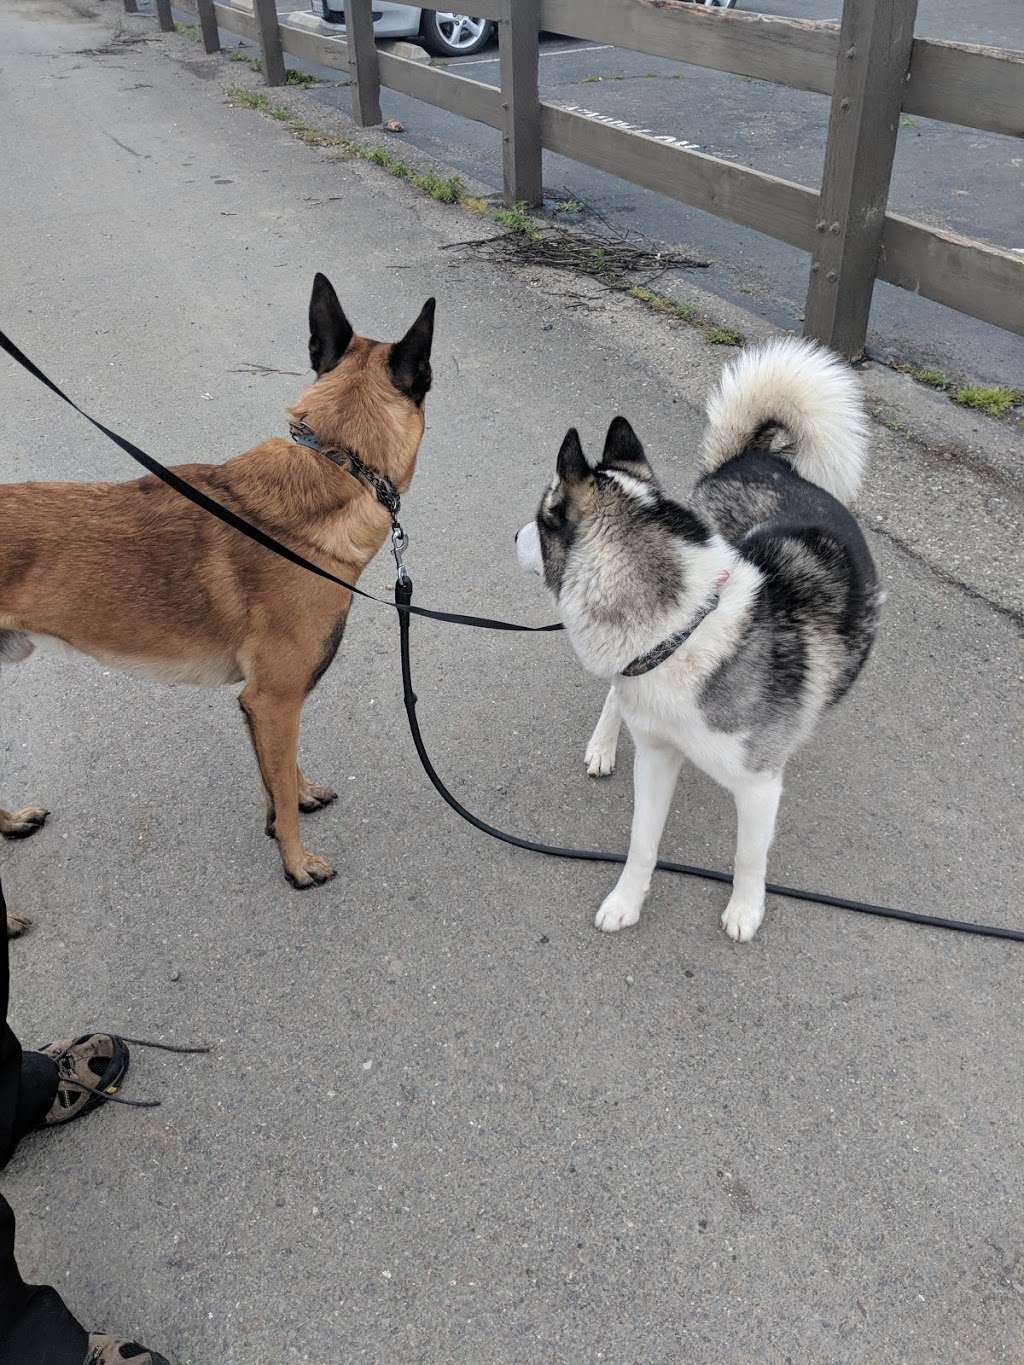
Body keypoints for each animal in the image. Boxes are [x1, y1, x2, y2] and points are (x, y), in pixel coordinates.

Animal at [0, 271, 434, 917]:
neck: (338, 464)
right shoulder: (275, 699)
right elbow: (281, 786)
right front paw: (296, 863)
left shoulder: (265, 706)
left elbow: (280, 776)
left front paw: (295, 799)